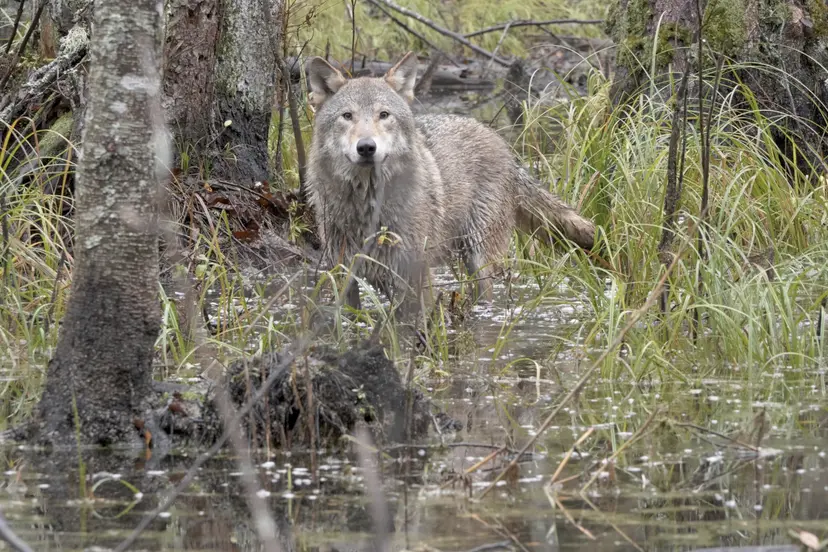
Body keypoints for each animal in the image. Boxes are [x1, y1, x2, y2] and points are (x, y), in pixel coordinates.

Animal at [305, 52, 595, 312]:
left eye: (384, 115)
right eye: (347, 116)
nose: (366, 147)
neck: (367, 205)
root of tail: (500, 142)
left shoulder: (415, 274)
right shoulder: (343, 275)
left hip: (479, 258)